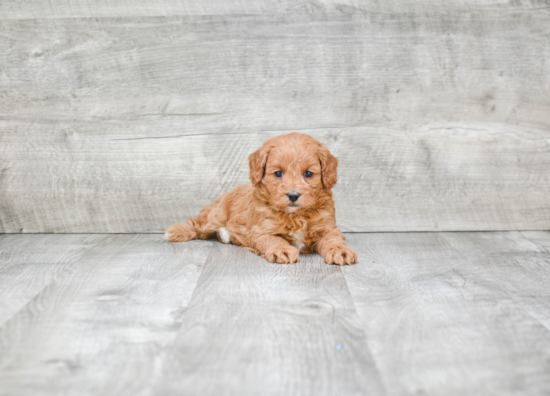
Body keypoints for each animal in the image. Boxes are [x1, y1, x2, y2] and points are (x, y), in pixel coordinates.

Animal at [164, 133, 358, 266]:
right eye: (278, 173)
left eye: (308, 174)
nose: (293, 195)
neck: (295, 216)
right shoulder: (261, 230)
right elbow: (273, 239)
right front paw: (282, 250)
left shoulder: (327, 227)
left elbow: (333, 239)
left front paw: (341, 252)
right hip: (215, 216)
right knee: (196, 223)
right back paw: (176, 231)